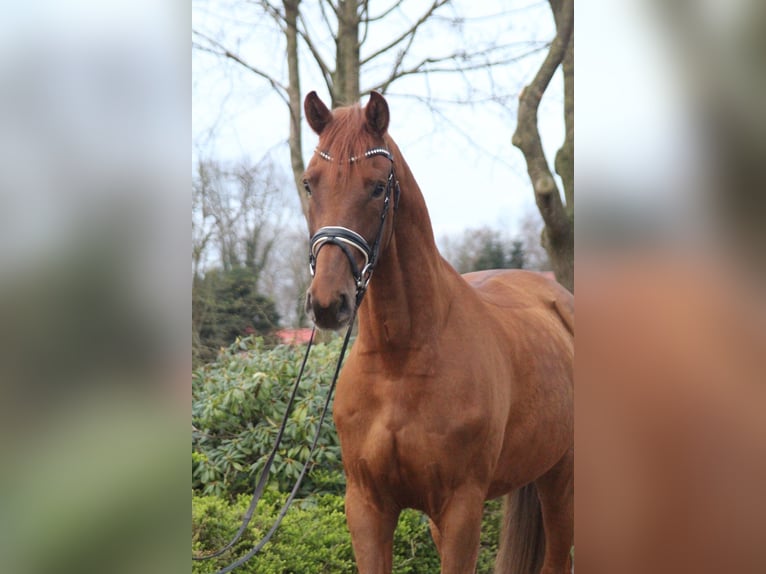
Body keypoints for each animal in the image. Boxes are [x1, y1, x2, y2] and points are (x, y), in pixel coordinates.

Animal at [304, 92, 572, 572]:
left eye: (377, 187)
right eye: (309, 184)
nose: (328, 303)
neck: (400, 360)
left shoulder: (461, 506)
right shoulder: (368, 506)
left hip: (562, 480)